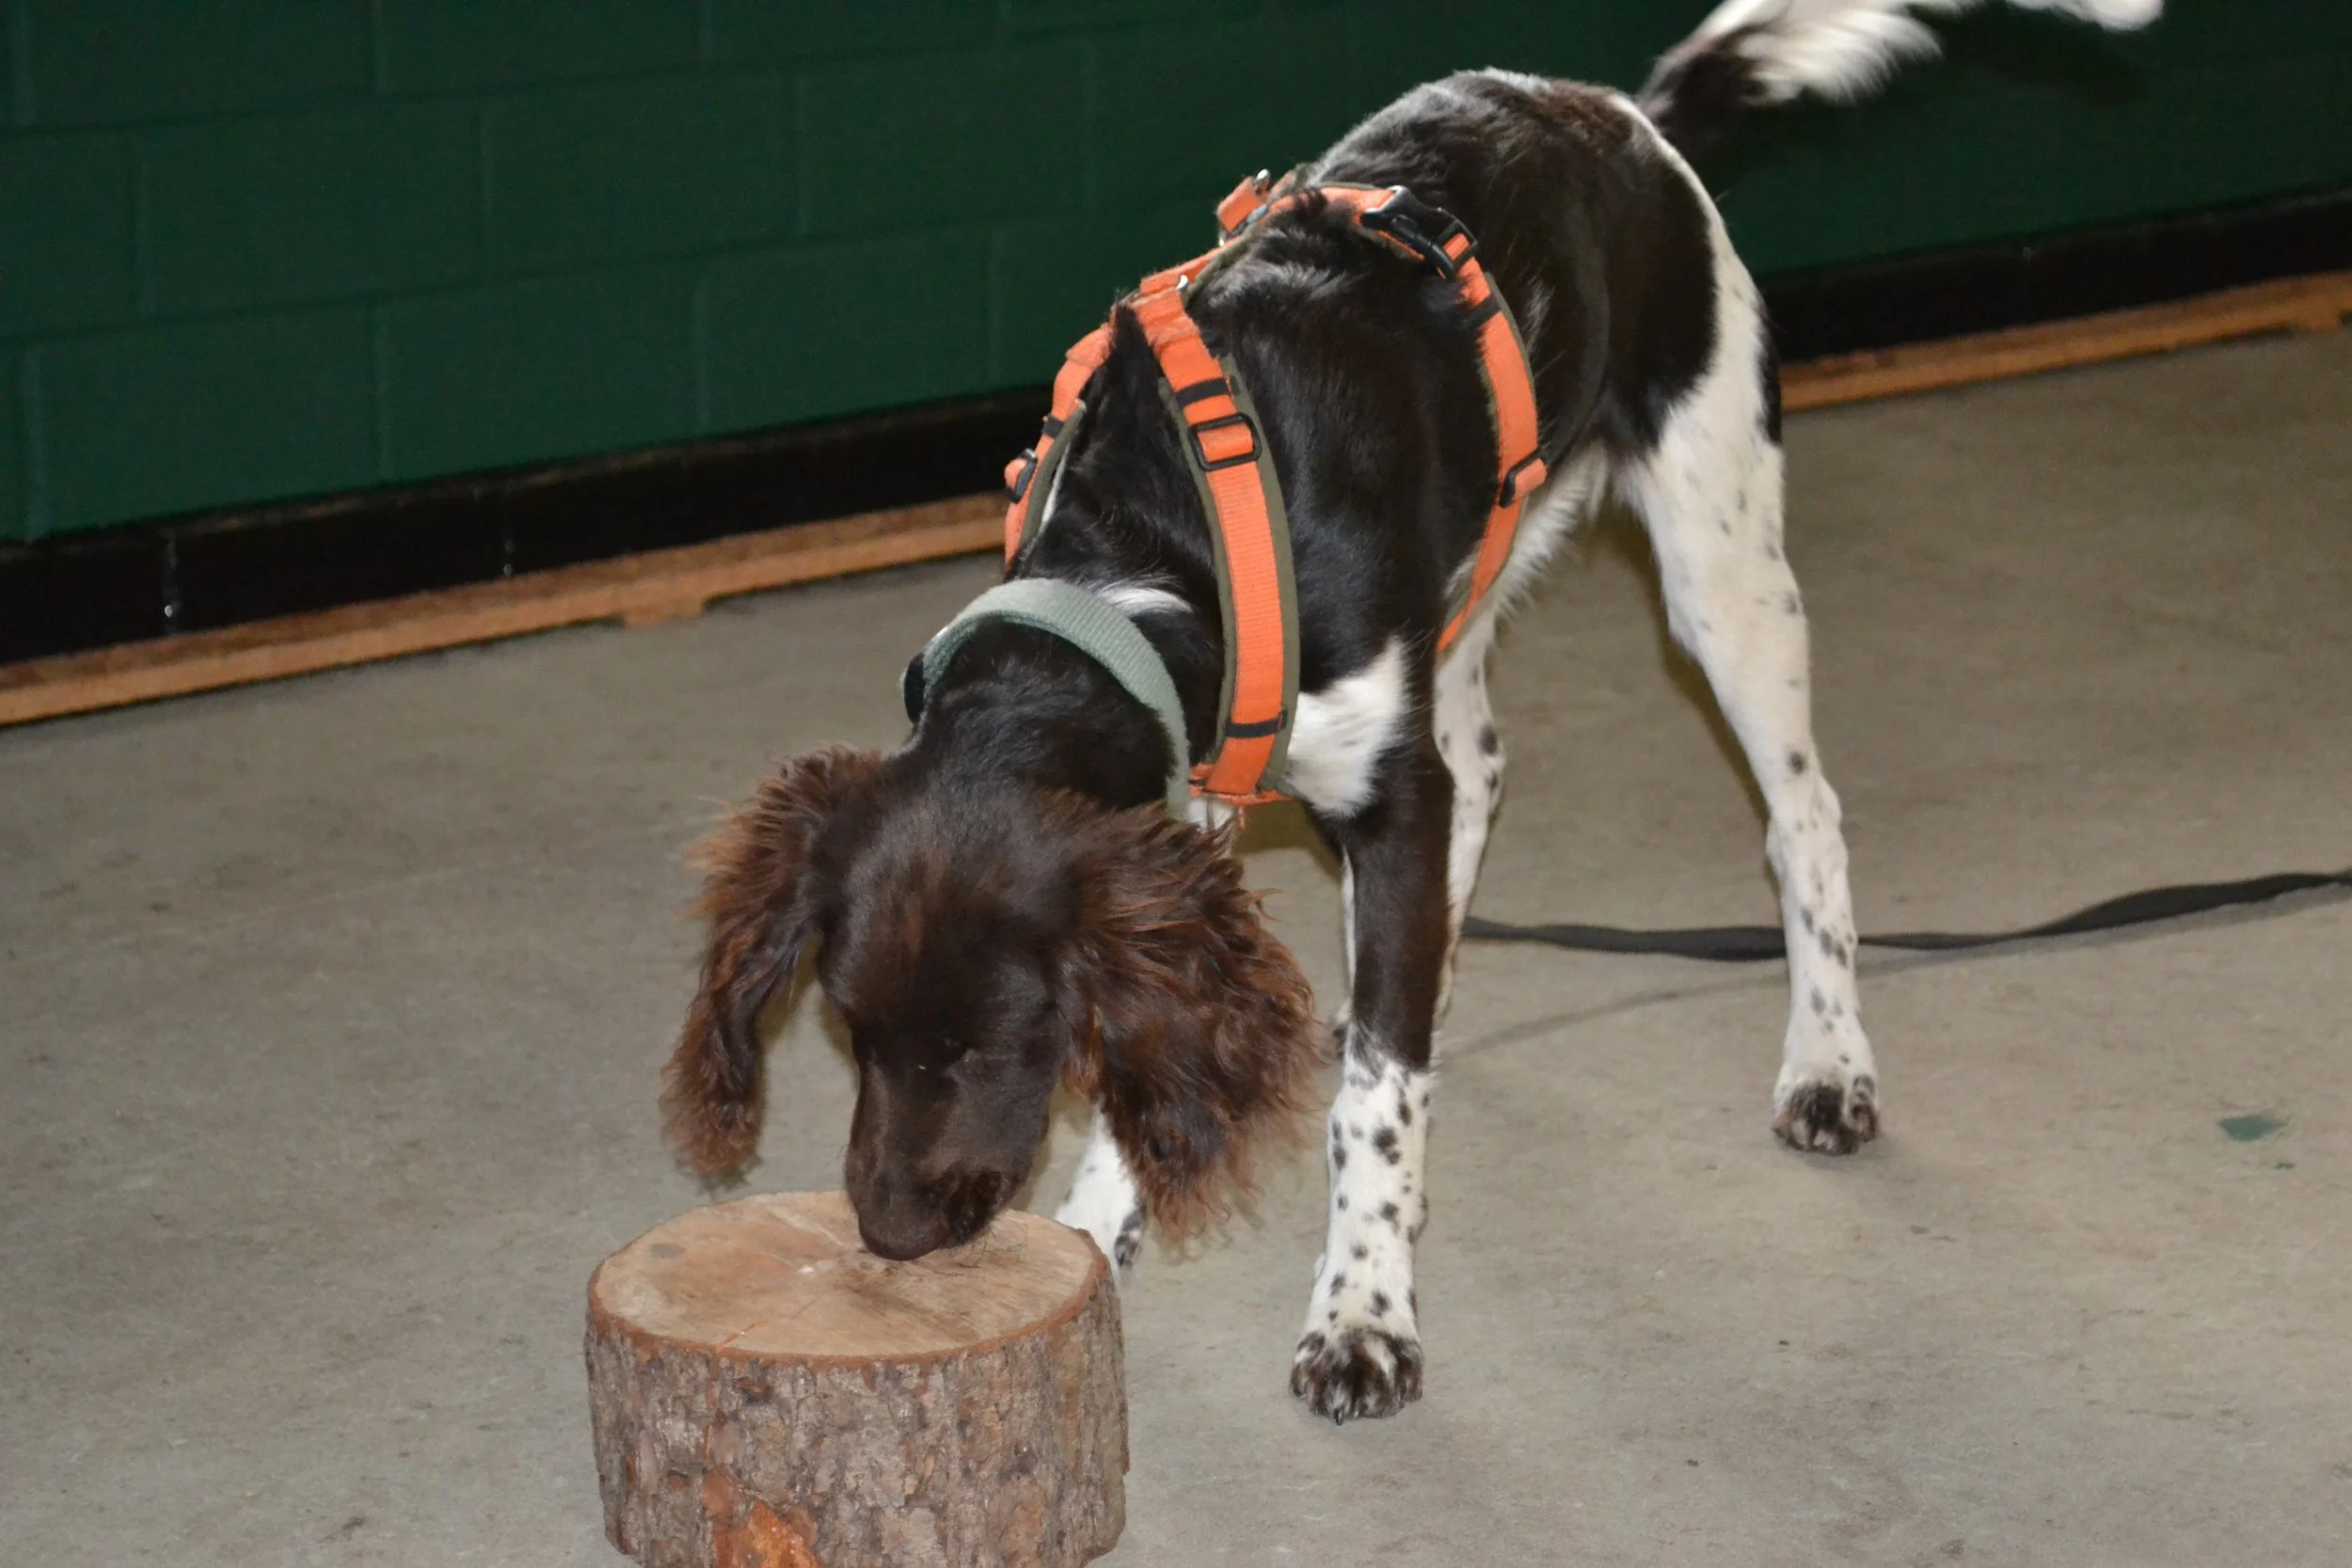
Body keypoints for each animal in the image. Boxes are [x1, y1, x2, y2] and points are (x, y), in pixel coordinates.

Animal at [662, 0, 2160, 1424]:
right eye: (850, 1030)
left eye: (989, 1039)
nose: (889, 1233)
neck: (1153, 543)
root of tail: (1625, 114)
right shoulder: (1207, 782)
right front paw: (1098, 1232)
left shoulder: (1374, 786)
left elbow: (1374, 1108)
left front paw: (1363, 1316)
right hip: (1480, 576)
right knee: (1484, 768)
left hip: (1721, 560)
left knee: (1803, 813)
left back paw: (1828, 1064)